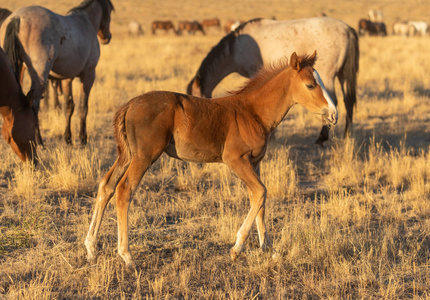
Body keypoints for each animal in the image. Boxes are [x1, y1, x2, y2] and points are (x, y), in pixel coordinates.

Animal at [0, 0, 114, 145]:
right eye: (110, 10)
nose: (107, 37)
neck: (86, 22)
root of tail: (17, 18)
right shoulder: (88, 76)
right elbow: (83, 107)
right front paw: (83, 138)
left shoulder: (66, 78)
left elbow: (68, 107)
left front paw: (68, 138)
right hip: (40, 75)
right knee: (34, 104)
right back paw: (38, 140)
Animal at [85, 51, 340, 268]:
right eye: (310, 85)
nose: (334, 114)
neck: (252, 113)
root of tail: (128, 105)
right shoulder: (236, 160)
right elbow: (260, 192)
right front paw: (237, 248)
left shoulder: (255, 163)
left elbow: (259, 199)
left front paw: (269, 249)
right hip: (144, 156)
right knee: (124, 190)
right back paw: (126, 256)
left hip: (127, 155)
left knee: (106, 186)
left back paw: (90, 247)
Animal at [188, 17, 360, 144]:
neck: (236, 47)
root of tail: (347, 29)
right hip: (342, 75)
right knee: (348, 100)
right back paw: (347, 135)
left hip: (329, 75)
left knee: (335, 101)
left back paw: (322, 137)